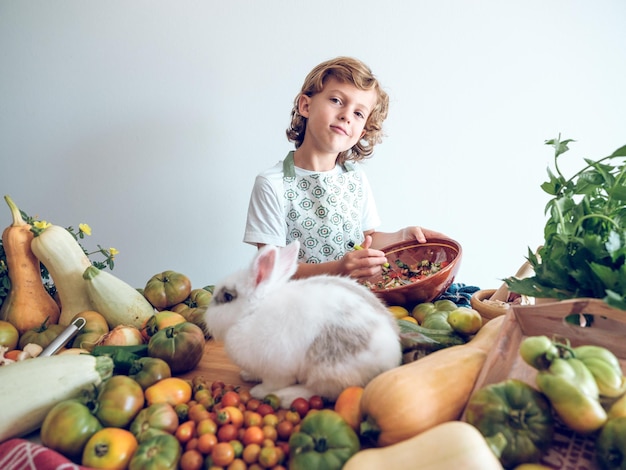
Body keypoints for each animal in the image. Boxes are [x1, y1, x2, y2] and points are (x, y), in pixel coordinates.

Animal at [205, 241, 400, 406]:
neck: (252, 312)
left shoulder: (276, 370)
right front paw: (247, 375)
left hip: (327, 371)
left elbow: (272, 384)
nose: (207, 316)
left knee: (321, 391)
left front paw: (258, 391)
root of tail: (392, 360)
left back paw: (287, 396)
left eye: (228, 297)